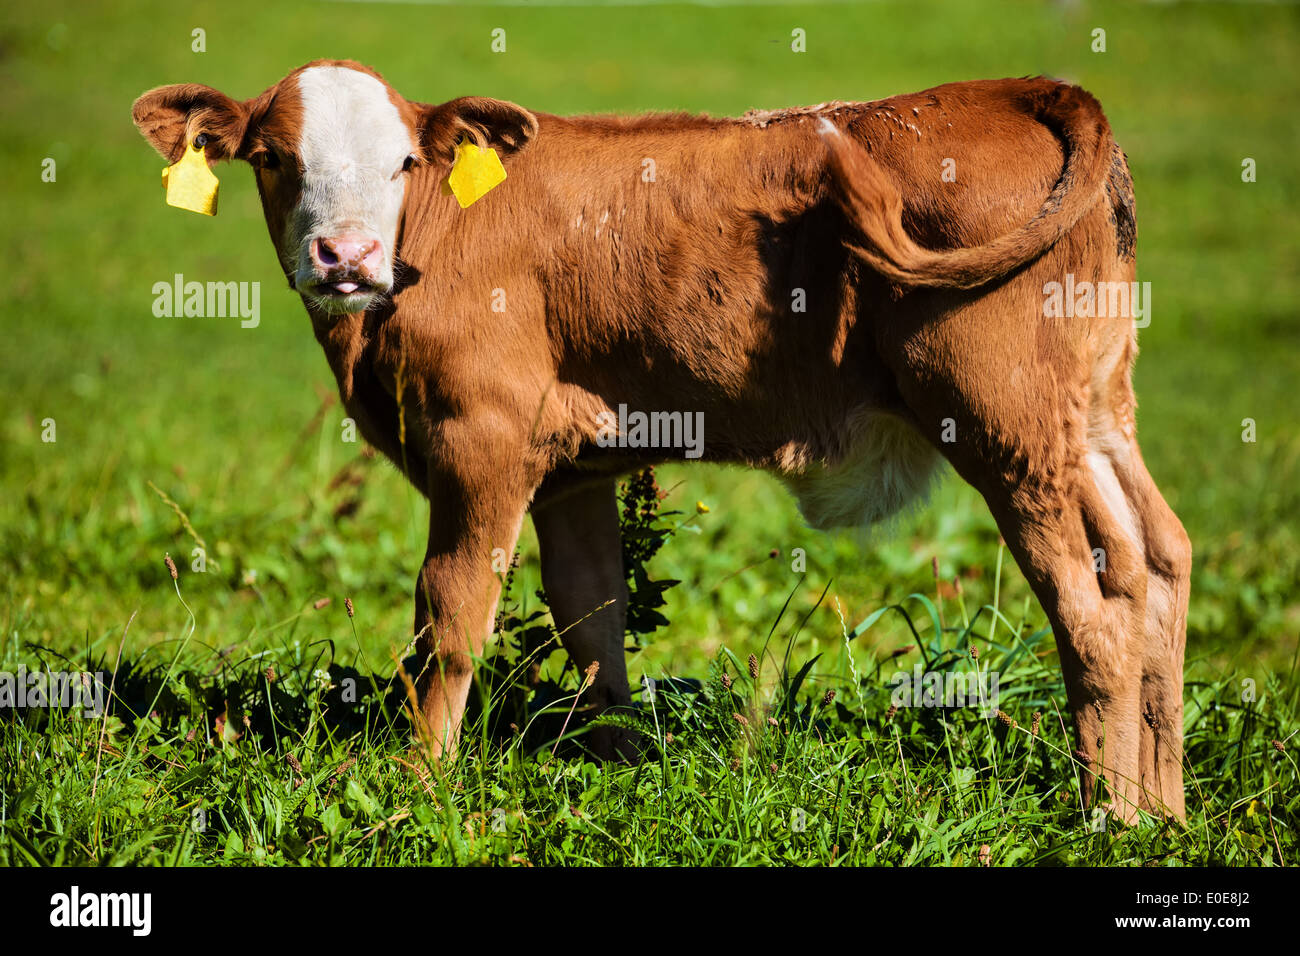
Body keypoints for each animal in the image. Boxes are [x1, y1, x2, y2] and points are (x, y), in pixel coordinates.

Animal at [131, 61, 1190, 822]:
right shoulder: (569, 470)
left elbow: (451, 614)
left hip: (1001, 421)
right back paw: (1164, 811)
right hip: (1092, 412)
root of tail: (1015, 89)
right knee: (1154, 563)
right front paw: (624, 769)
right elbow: (592, 616)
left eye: (402, 164)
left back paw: (1106, 817)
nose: (344, 257)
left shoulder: (482, 439)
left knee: (1090, 608)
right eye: (275, 157)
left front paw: (417, 784)